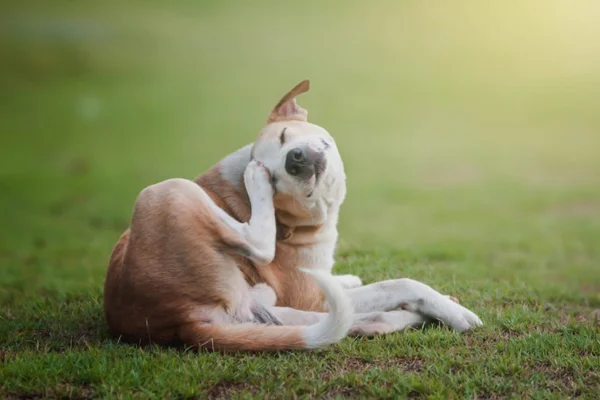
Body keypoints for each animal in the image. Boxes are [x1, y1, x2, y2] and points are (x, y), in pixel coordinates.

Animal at [102, 79, 478, 352]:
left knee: (357, 322)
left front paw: (348, 279)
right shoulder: (310, 296)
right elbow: (401, 283)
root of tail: (180, 323)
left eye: (284, 135)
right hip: (166, 191)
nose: (293, 159)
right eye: (275, 179)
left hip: (269, 312)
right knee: (260, 246)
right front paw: (457, 313)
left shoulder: (311, 297)